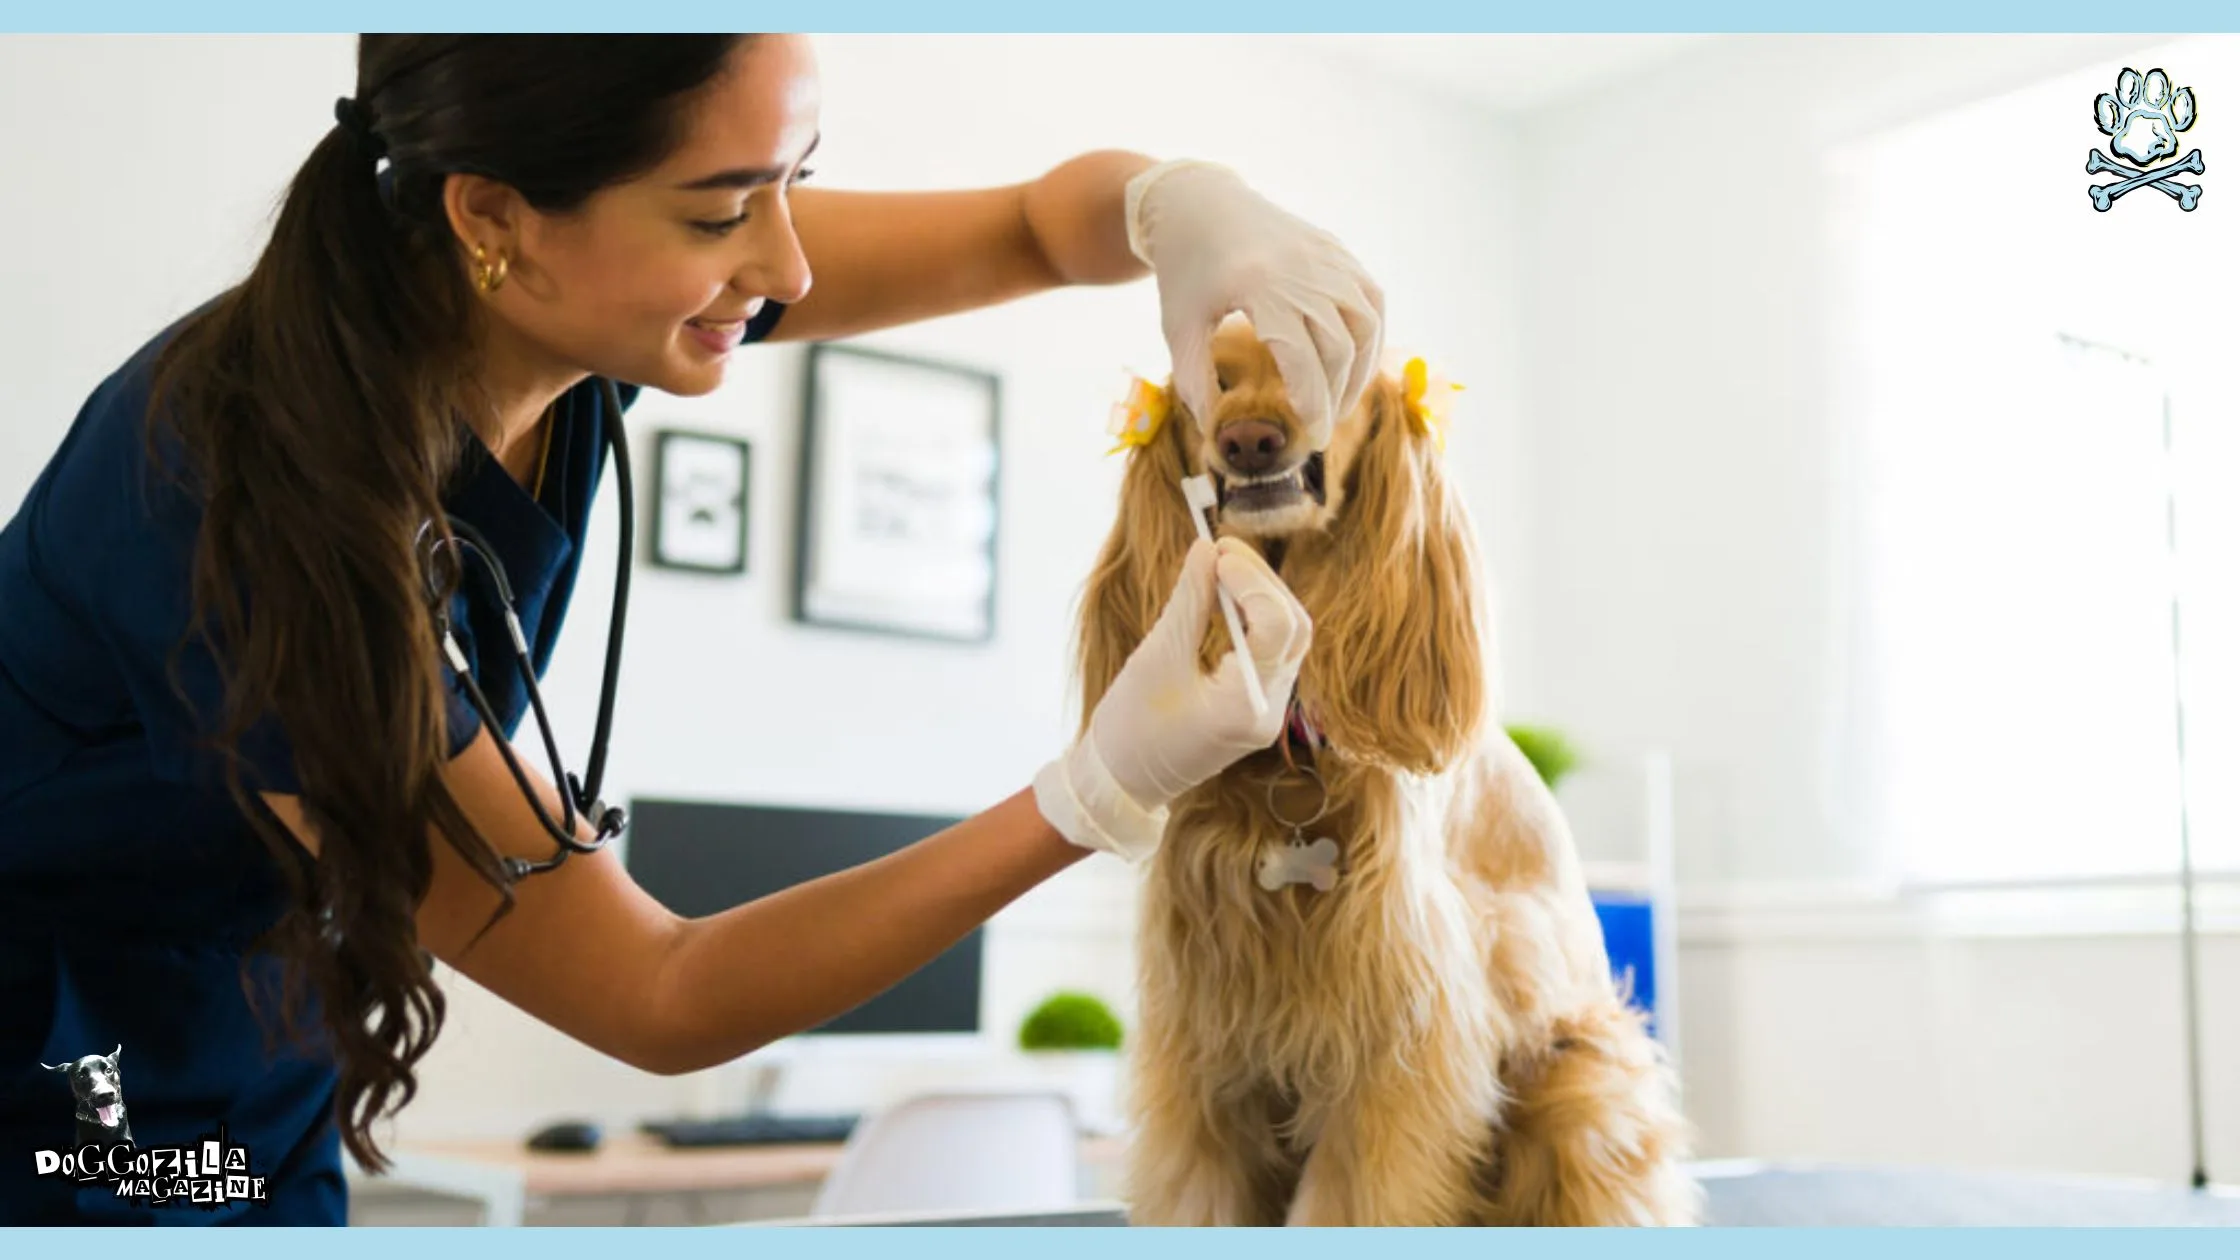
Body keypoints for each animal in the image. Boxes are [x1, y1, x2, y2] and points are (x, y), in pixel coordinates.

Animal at [1070, 318, 1693, 1219]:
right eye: (1212, 381)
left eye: (1321, 362)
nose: (1249, 438)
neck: (1291, 755)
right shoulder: (1201, 1052)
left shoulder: (1393, 1051)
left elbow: (1349, 1202)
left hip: (1582, 1081)